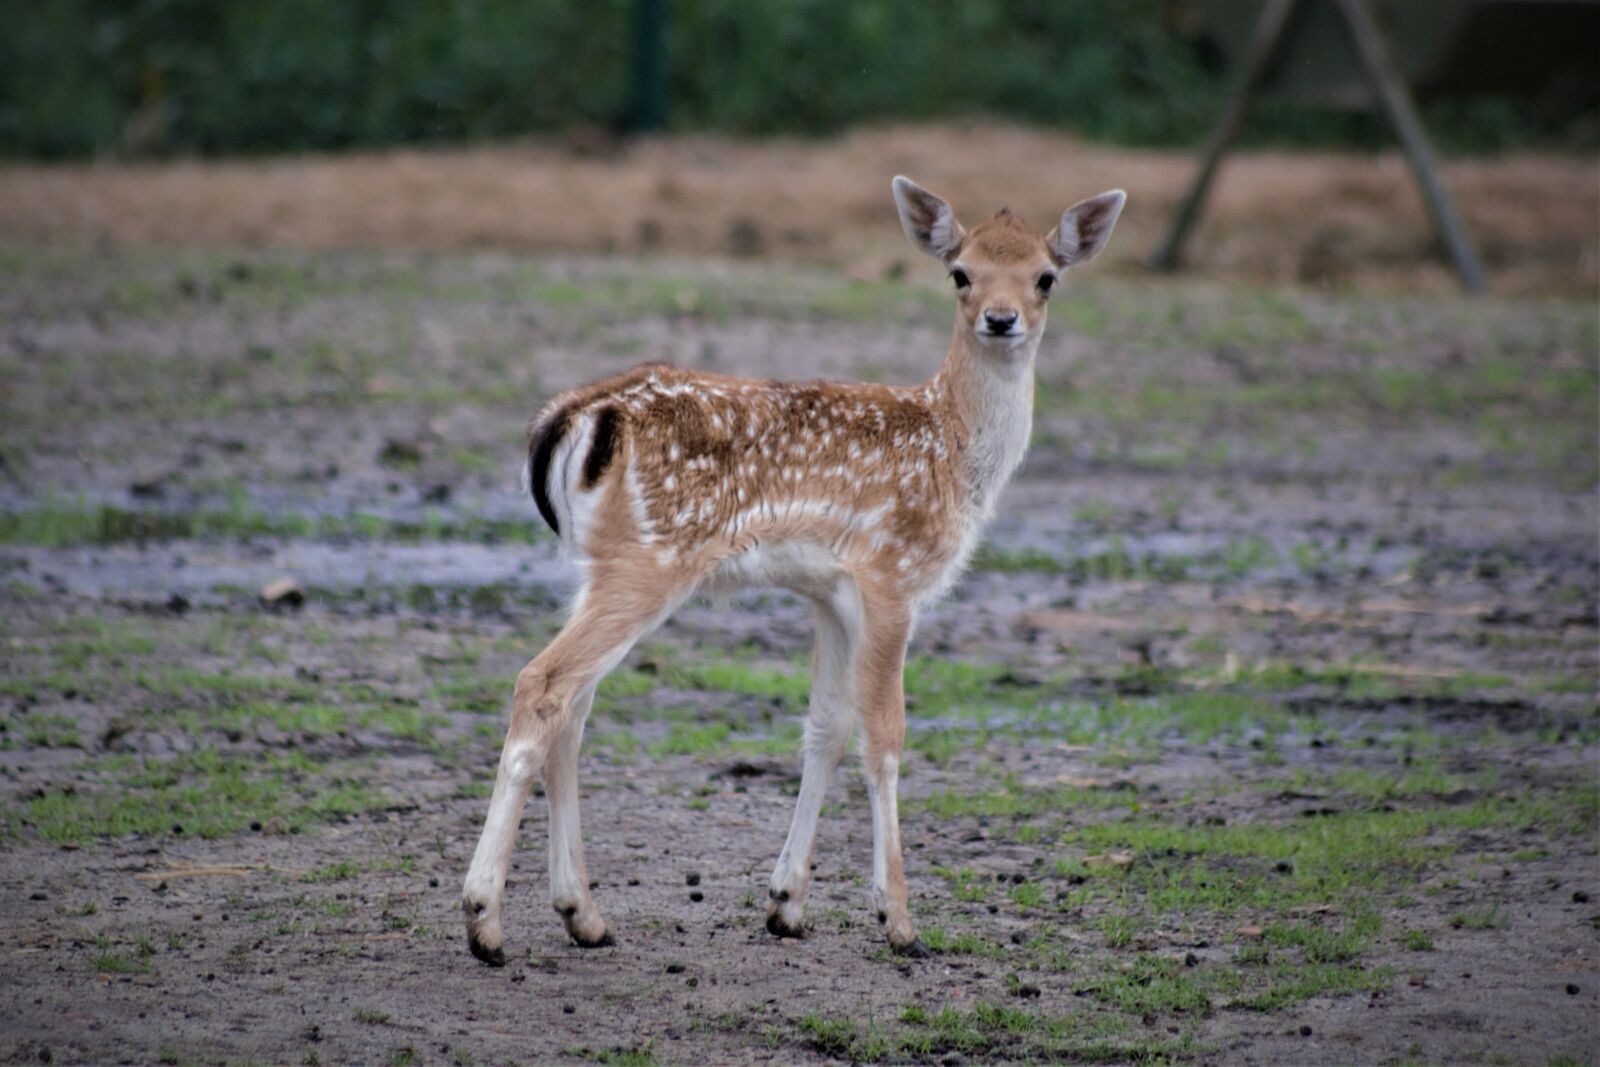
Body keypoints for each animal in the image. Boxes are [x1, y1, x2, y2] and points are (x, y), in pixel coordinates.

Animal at [461, 176, 1126, 964]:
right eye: (960, 272)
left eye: (1046, 277)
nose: (1001, 318)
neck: (954, 451)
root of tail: (572, 417)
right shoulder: (891, 572)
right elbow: (885, 736)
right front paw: (899, 919)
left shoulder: (829, 593)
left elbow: (826, 728)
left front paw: (787, 904)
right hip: (649, 559)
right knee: (543, 683)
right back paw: (484, 920)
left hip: (596, 563)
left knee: (575, 704)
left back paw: (583, 914)